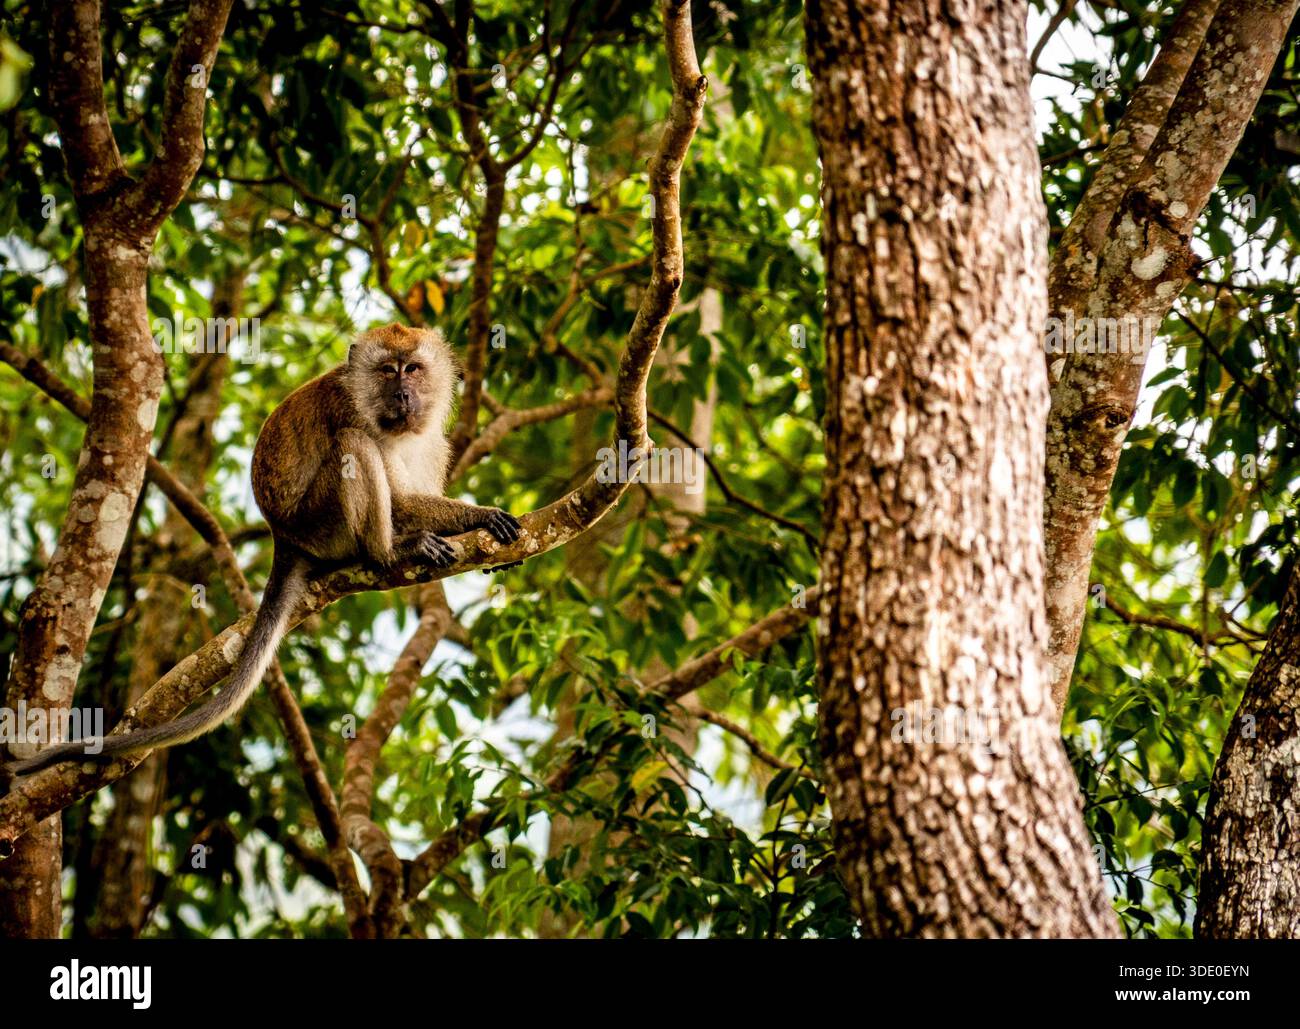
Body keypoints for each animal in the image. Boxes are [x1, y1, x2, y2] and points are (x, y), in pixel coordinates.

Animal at [4, 324, 520, 779]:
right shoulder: (353, 414)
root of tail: (281, 536)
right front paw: (476, 517)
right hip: (318, 524)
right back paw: (386, 553)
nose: (402, 396)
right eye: (386, 372)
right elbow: (400, 495)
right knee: (354, 449)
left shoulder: (434, 442)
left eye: (412, 369)